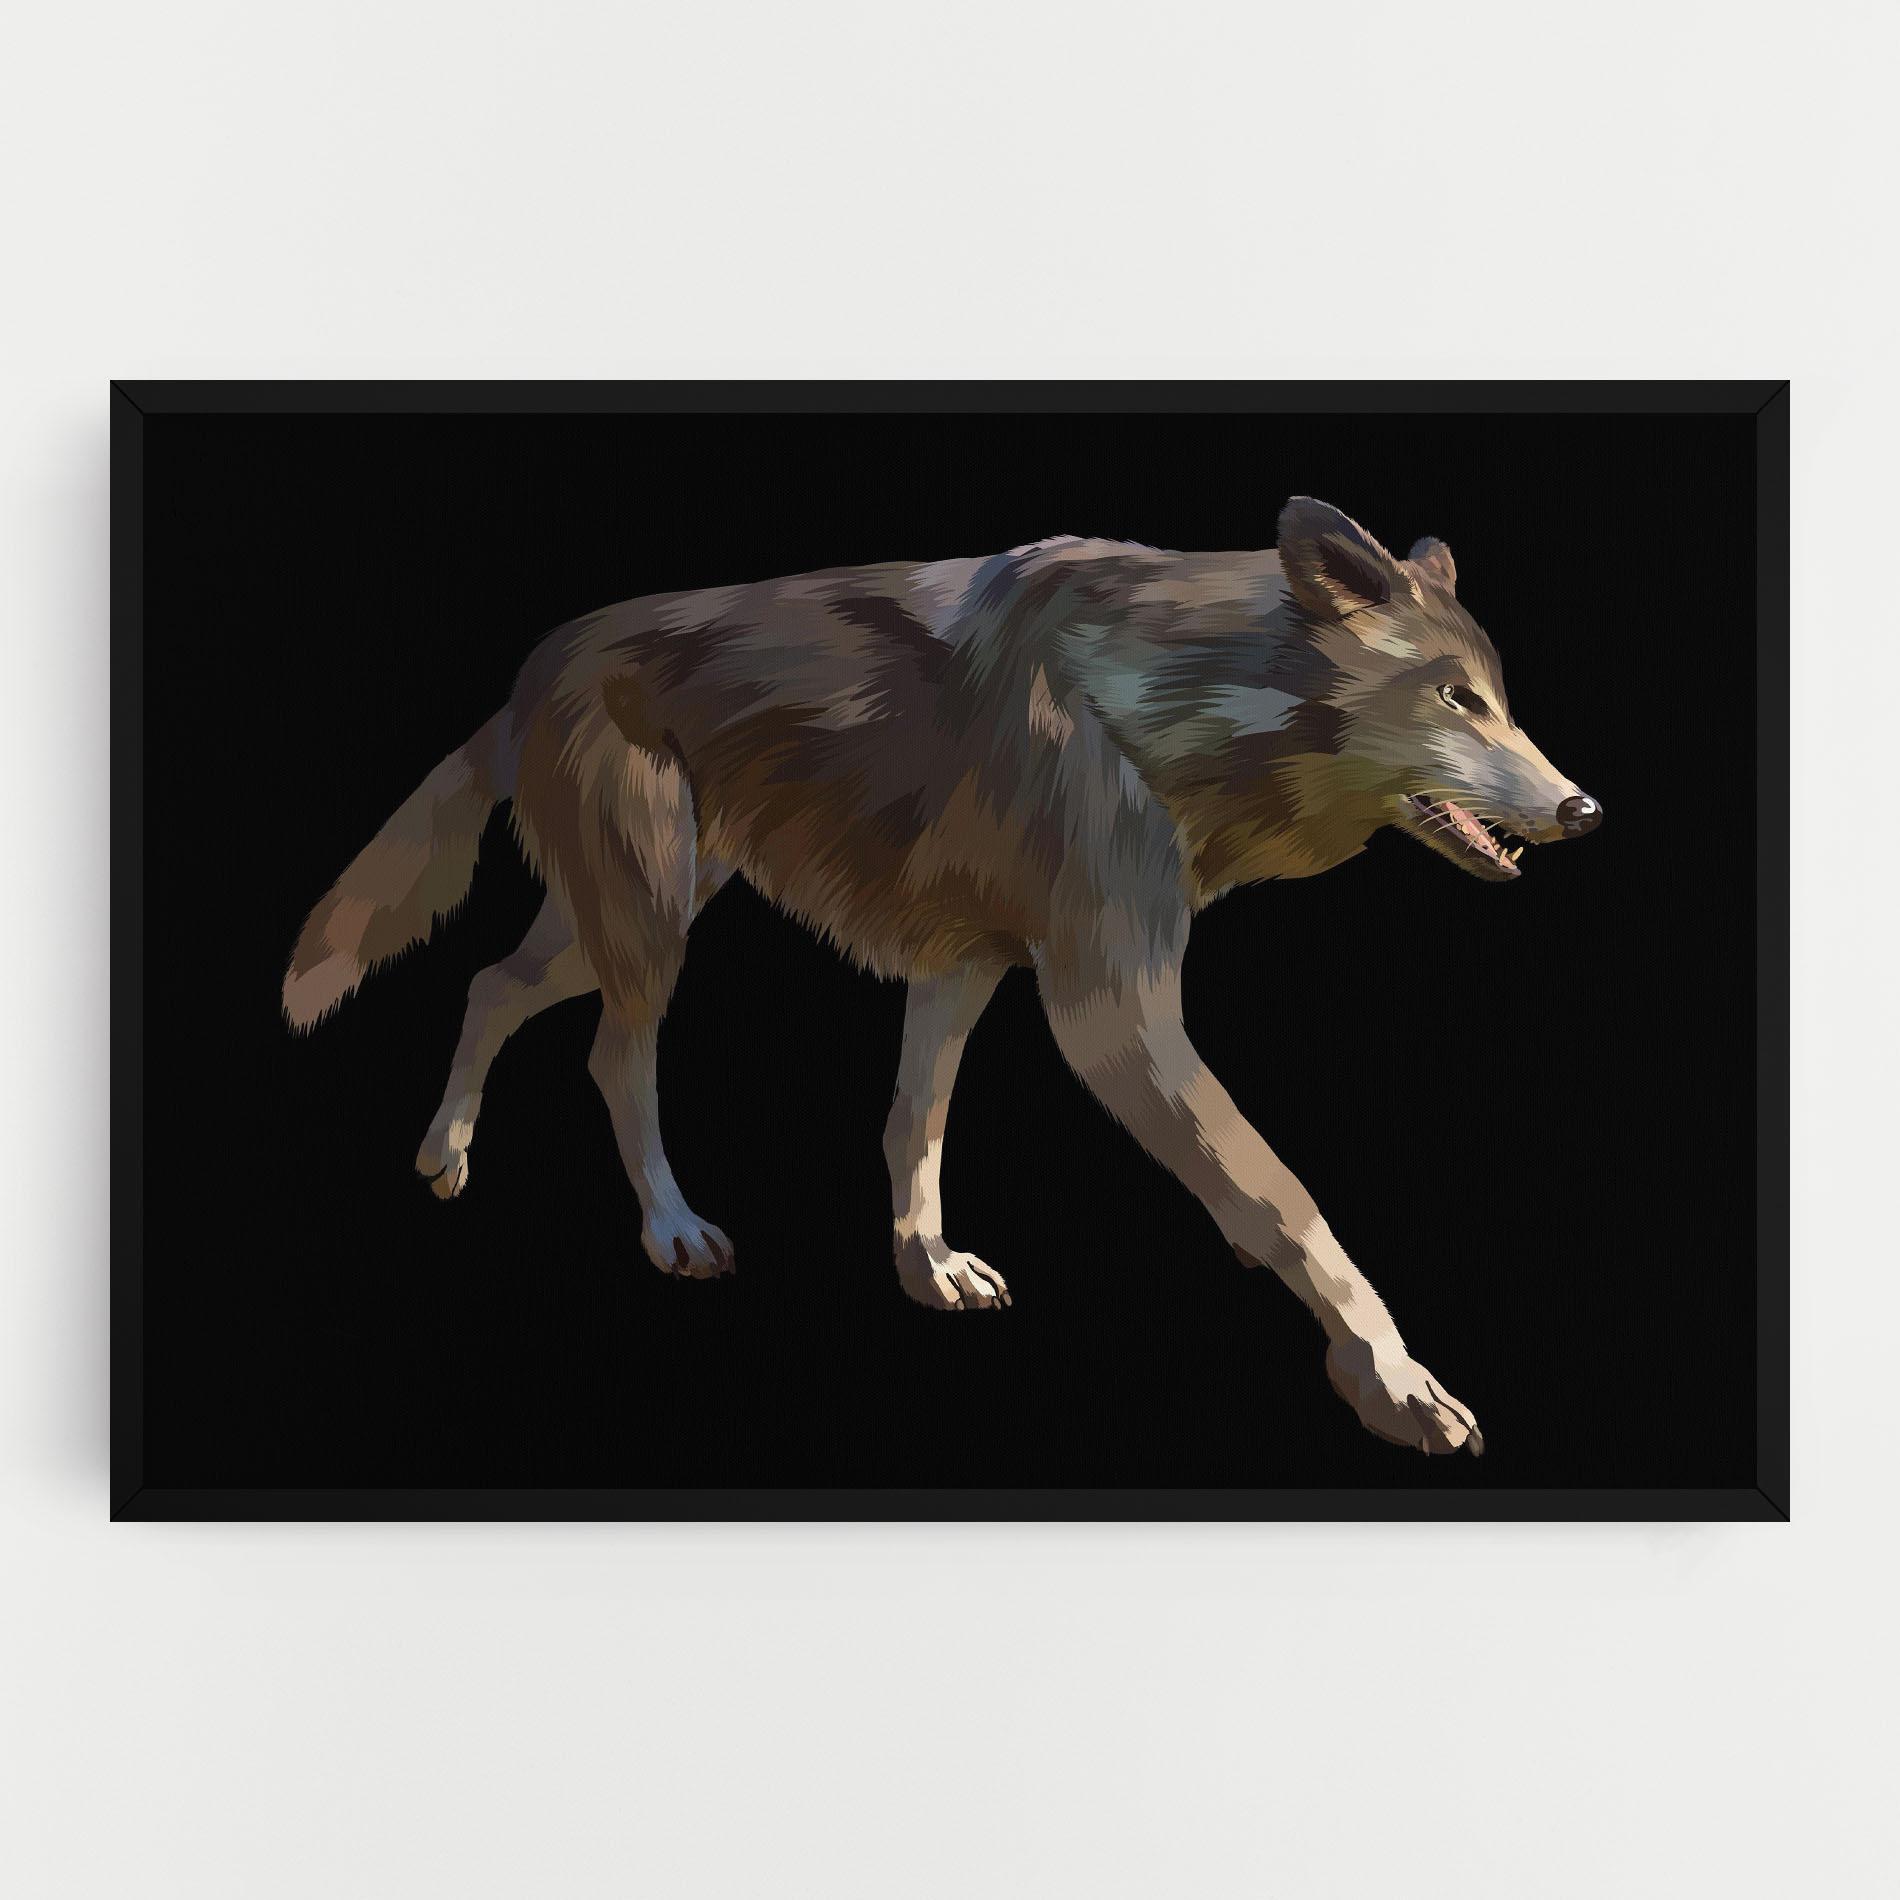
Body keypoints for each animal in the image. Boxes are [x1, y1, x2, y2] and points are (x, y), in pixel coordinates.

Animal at [283, 496, 1601, 1455]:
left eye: (1503, 701)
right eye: (1456, 699)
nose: (1584, 809)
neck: (1169, 705)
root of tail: (535, 659)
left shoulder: (962, 966)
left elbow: (912, 1124)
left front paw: (926, 1269)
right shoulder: (1108, 1012)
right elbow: (1286, 1201)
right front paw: (1395, 1383)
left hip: (623, 918)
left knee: (489, 984)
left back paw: (444, 1156)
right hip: (650, 925)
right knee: (612, 1053)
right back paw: (670, 1229)